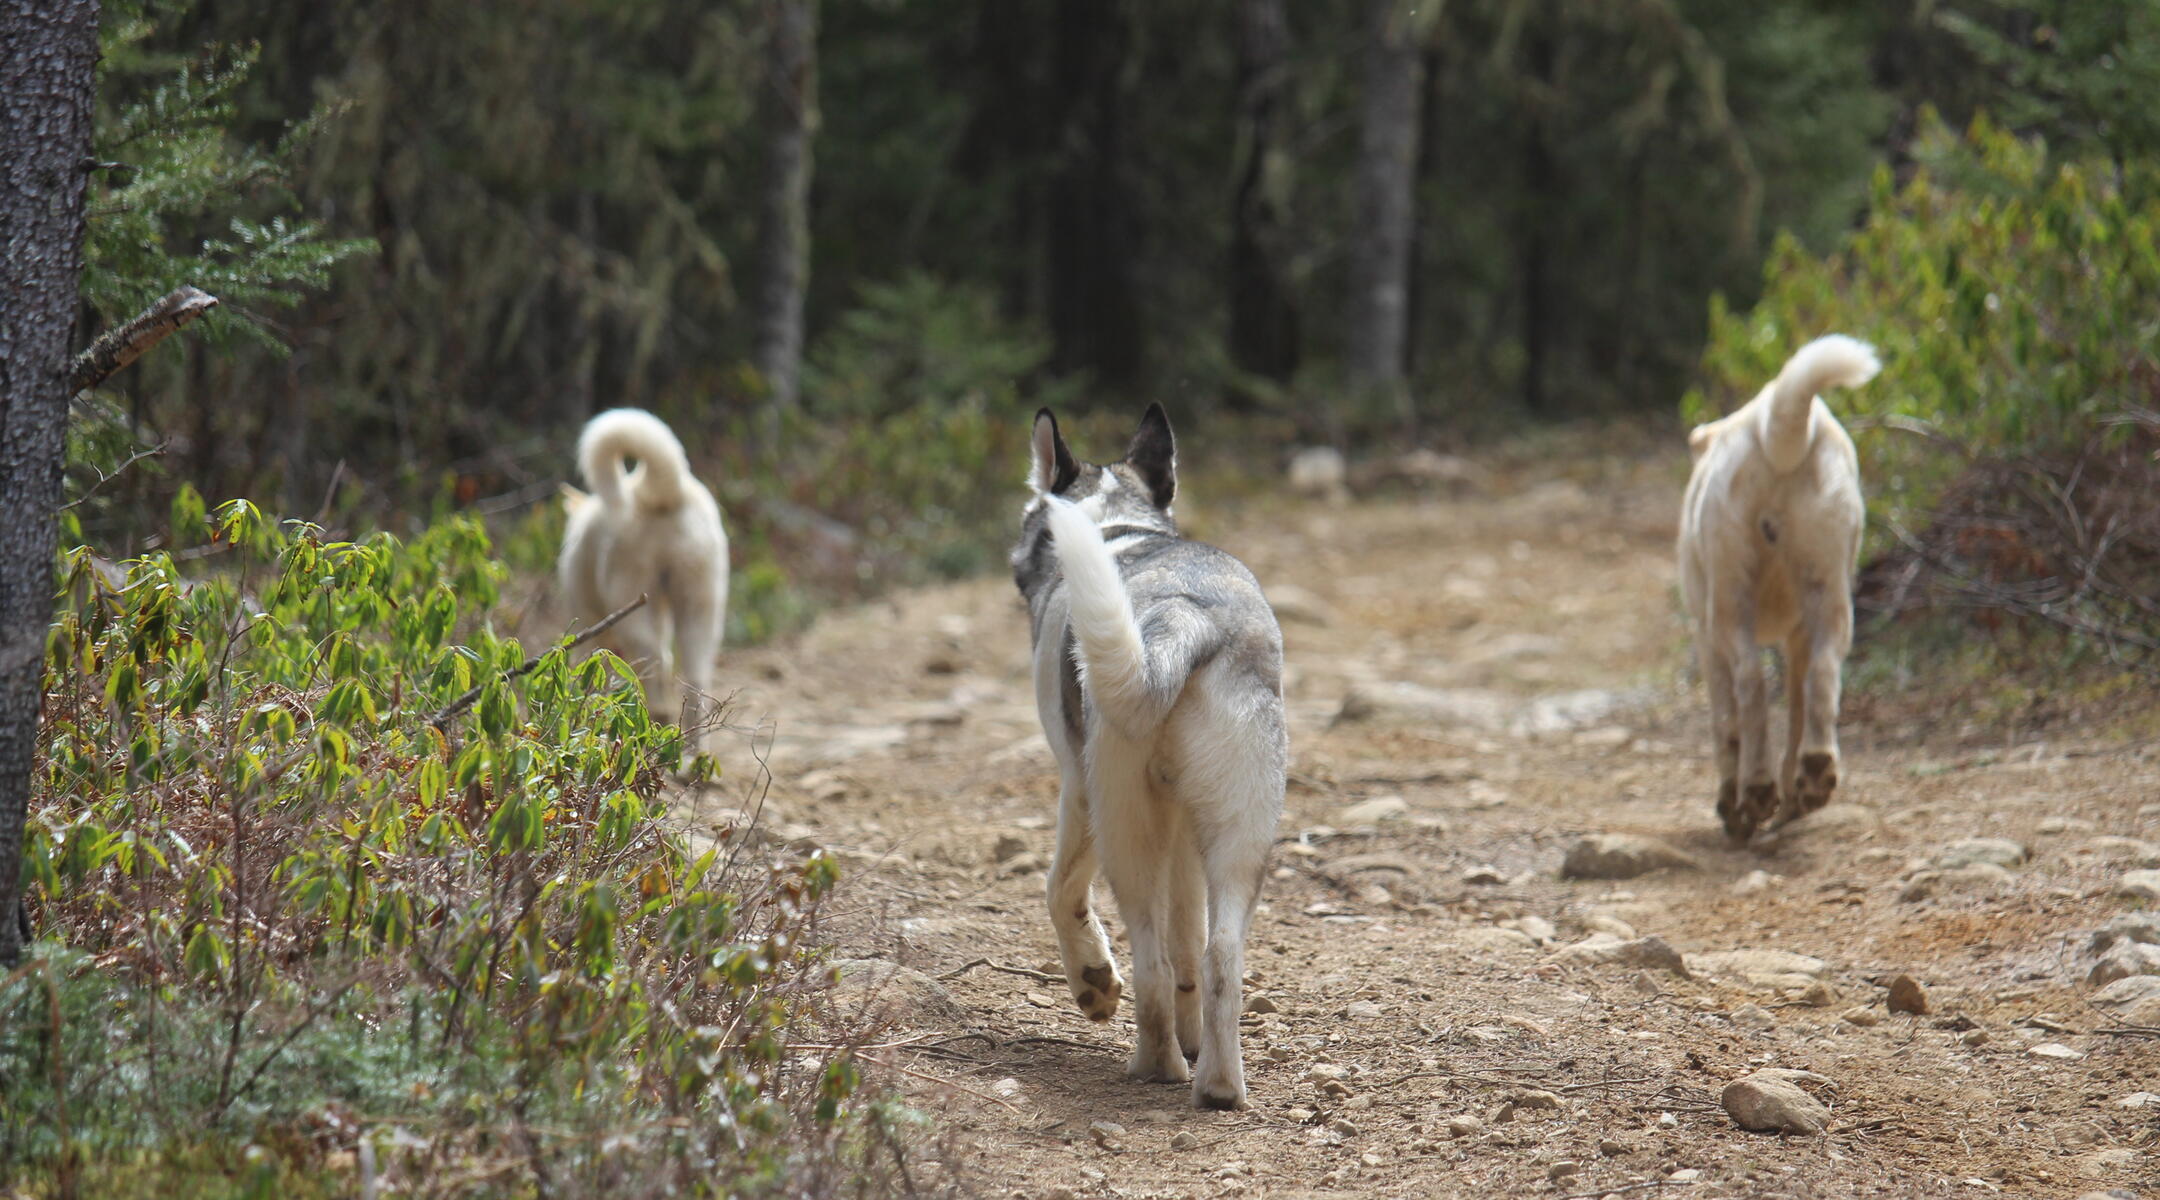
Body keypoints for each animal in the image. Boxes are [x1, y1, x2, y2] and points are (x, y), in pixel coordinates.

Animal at [552, 412, 730, 751]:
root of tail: (662, 493)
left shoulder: (590, 629)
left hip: (631, 604)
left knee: (656, 671)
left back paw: (655, 727)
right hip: (700, 606)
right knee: (695, 682)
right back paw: (692, 749)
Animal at [1676, 332, 1883, 837]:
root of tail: (1779, 429)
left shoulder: (1706, 641)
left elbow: (1725, 726)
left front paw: (1733, 804)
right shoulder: (1796, 640)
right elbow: (1795, 712)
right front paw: (1794, 795)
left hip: (1730, 610)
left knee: (1749, 686)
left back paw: (1754, 791)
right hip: (1830, 599)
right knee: (1823, 679)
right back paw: (1815, 775)